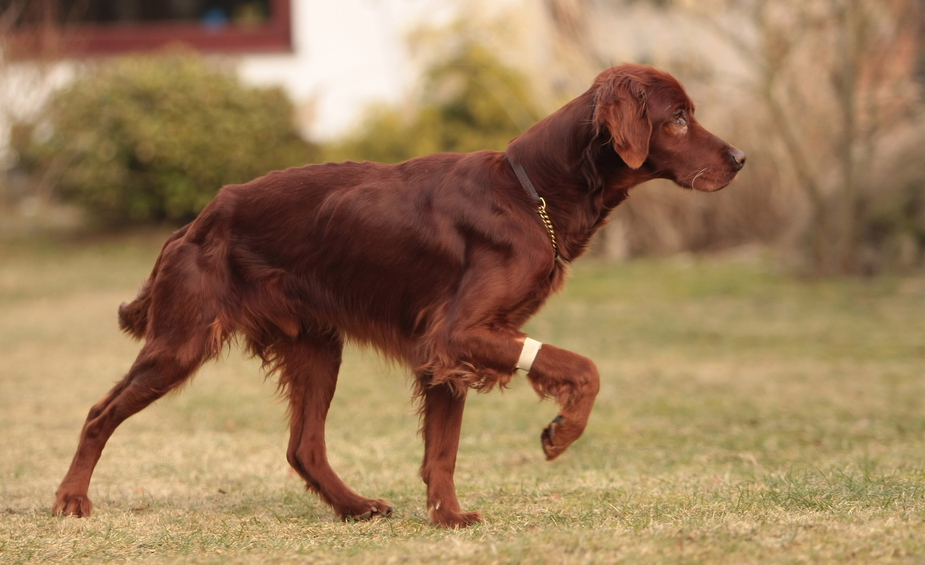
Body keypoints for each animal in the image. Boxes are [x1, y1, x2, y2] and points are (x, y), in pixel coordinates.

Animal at [52, 64, 744, 528]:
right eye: (678, 117)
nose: (740, 158)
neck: (531, 193)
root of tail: (197, 220)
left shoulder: (449, 353)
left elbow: (443, 449)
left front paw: (448, 517)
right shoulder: (461, 332)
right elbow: (584, 367)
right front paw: (560, 434)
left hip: (315, 347)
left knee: (303, 446)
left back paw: (356, 506)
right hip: (181, 341)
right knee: (98, 413)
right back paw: (71, 499)